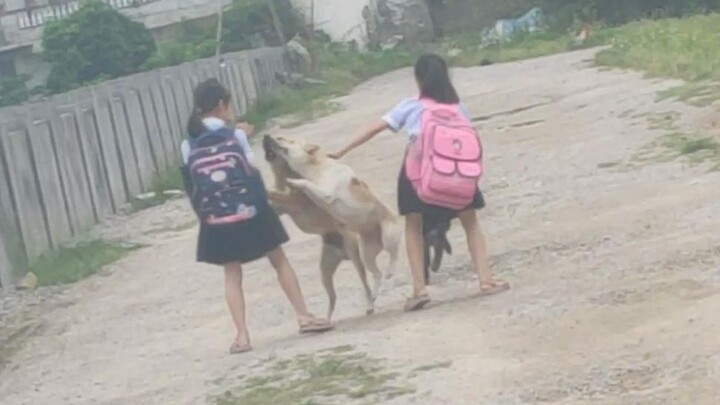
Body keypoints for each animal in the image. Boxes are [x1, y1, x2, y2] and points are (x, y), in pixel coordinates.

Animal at [262, 136, 402, 294]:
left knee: (394, 255)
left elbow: (305, 184)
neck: (316, 168)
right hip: (366, 253)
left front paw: (293, 181)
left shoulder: (325, 193)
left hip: (388, 236)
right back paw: (375, 293)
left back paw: (390, 271)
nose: (269, 137)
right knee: (377, 273)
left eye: (289, 140)